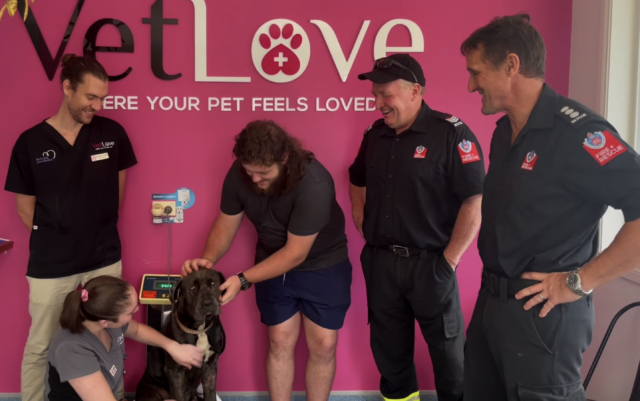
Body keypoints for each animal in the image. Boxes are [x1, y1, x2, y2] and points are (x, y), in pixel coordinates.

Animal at [134, 268, 226, 401]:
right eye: (193, 288)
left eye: (213, 283)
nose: (208, 303)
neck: (199, 329)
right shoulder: (175, 371)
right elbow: (178, 395)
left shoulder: (211, 368)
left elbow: (210, 394)